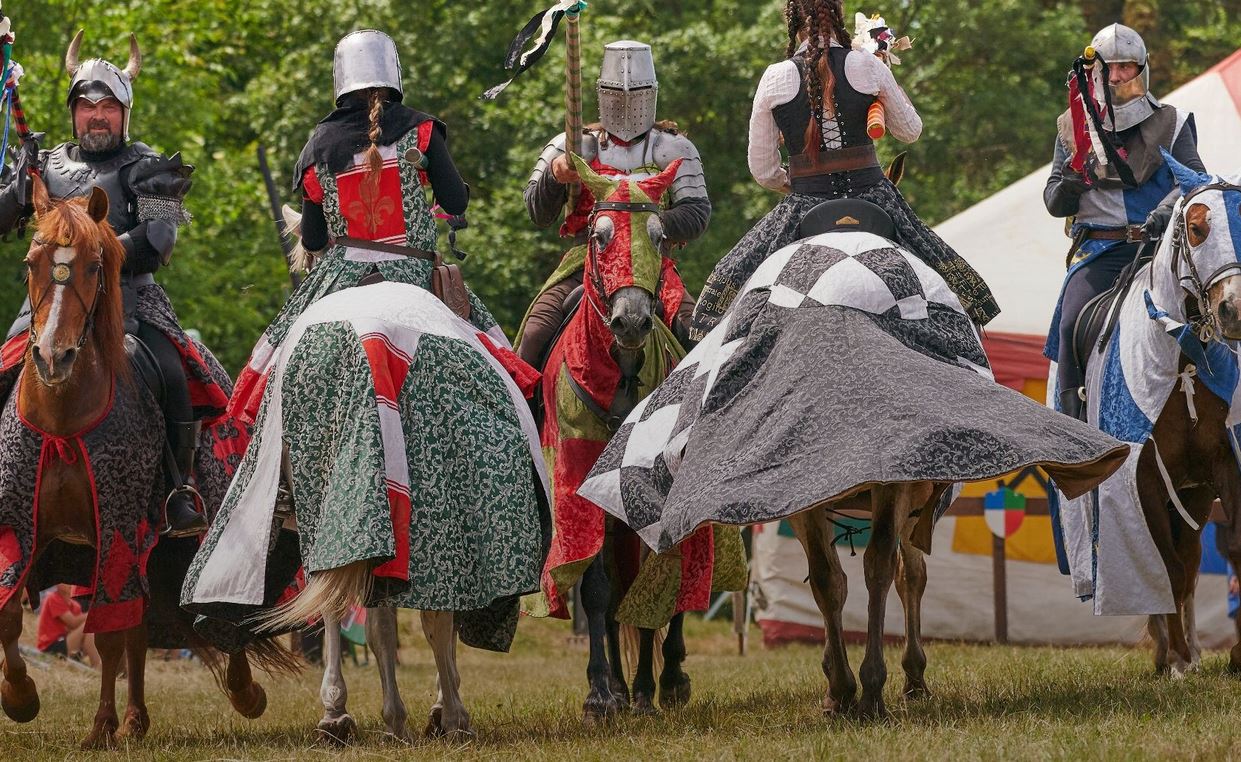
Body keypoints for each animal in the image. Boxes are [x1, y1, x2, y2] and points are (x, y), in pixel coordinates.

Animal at [0, 177, 284, 754]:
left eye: (94, 266)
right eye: (31, 261)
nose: (53, 357)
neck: (64, 421)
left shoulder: (118, 528)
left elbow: (108, 635)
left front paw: (99, 726)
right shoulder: (20, 528)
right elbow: (9, 616)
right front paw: (20, 697)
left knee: (214, 603)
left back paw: (242, 692)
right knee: (140, 627)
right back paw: (135, 719)